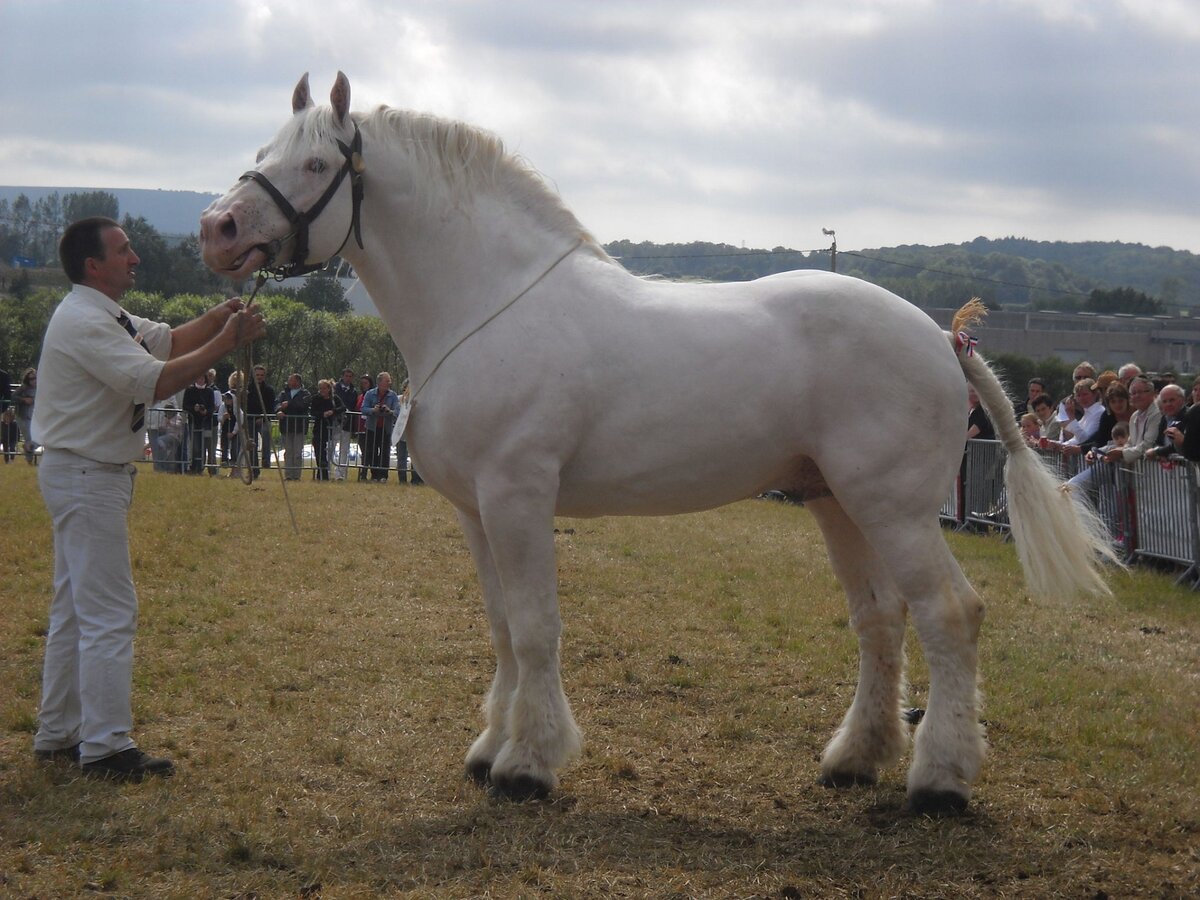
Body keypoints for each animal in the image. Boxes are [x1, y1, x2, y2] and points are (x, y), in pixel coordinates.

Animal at [199, 72, 1113, 816]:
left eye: (315, 165)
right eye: (262, 151)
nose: (217, 228)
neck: (485, 300)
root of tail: (938, 337)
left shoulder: (519, 495)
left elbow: (536, 627)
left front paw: (529, 764)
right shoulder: (474, 510)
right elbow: (501, 627)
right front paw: (492, 746)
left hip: (895, 507)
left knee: (949, 614)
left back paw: (940, 781)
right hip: (836, 502)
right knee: (880, 619)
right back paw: (856, 759)